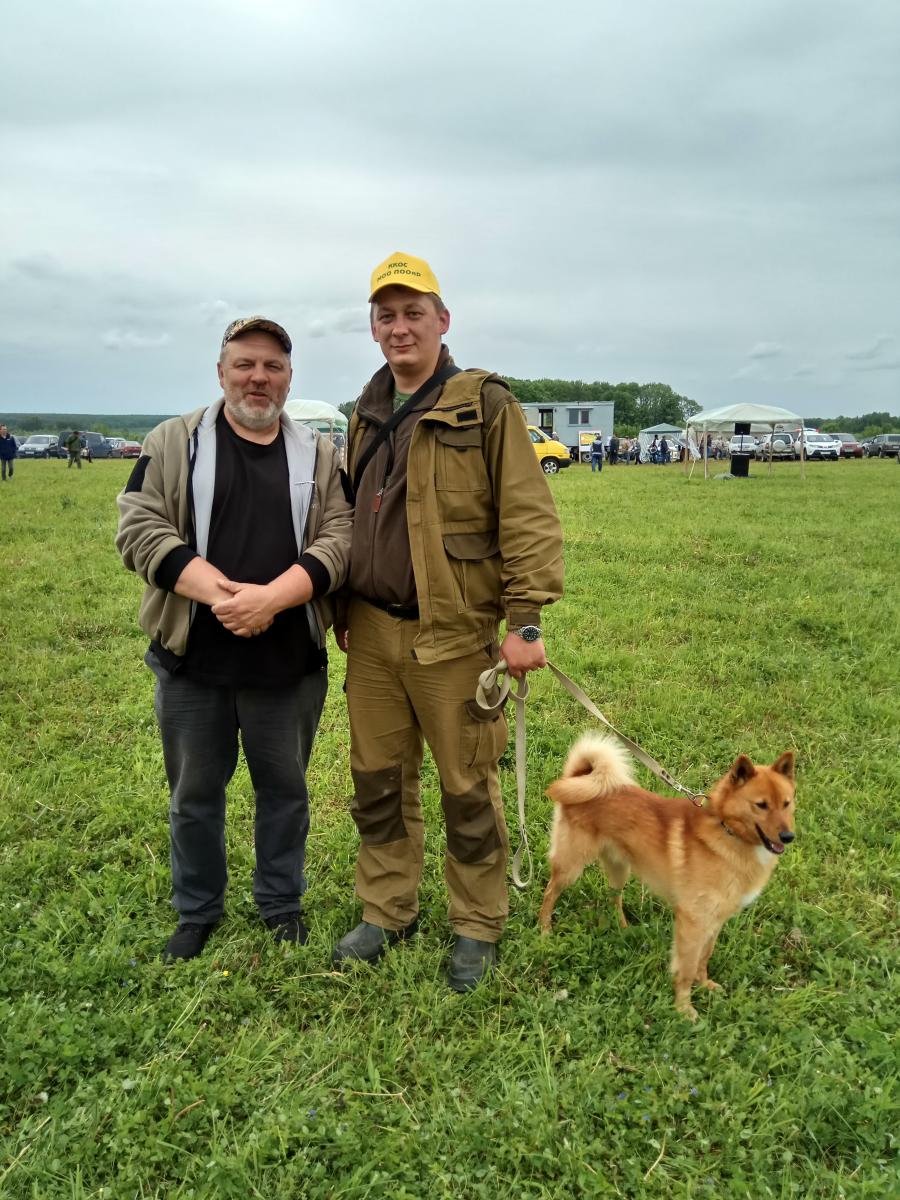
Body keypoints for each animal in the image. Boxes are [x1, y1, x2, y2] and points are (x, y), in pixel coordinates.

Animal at [539, 734, 796, 1020]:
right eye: (761, 805)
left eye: (787, 803)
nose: (788, 837)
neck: (727, 832)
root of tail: (580, 777)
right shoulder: (693, 922)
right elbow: (686, 968)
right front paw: (684, 1008)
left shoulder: (715, 920)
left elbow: (704, 956)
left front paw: (704, 984)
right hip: (571, 866)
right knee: (550, 892)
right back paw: (545, 930)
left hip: (620, 868)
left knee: (614, 897)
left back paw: (623, 927)